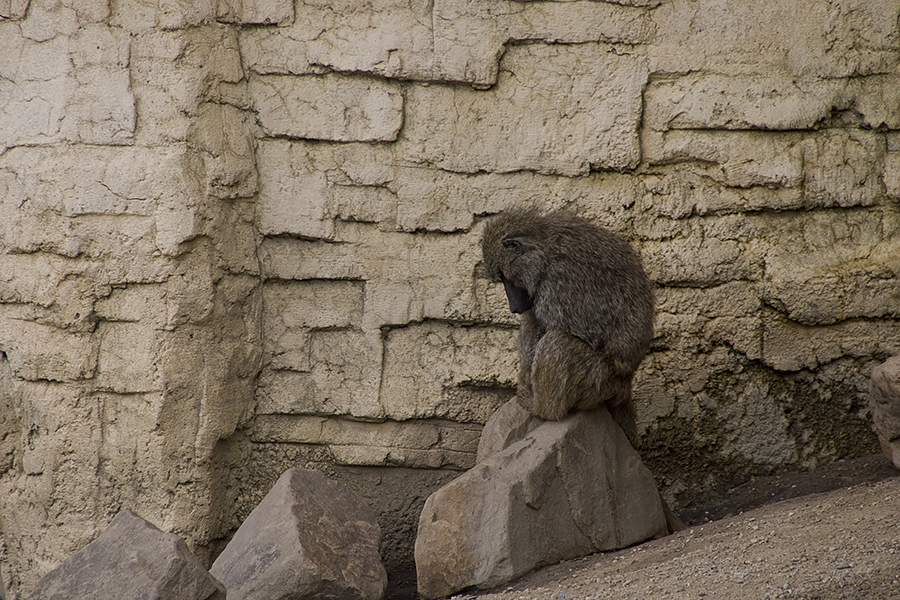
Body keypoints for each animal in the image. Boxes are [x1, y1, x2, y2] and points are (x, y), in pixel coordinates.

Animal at [478, 206, 652, 446]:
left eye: (505, 277)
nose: (514, 307)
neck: (544, 247)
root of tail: (625, 385)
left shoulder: (558, 282)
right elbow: (534, 320)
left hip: (599, 382)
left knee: (557, 342)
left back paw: (541, 409)